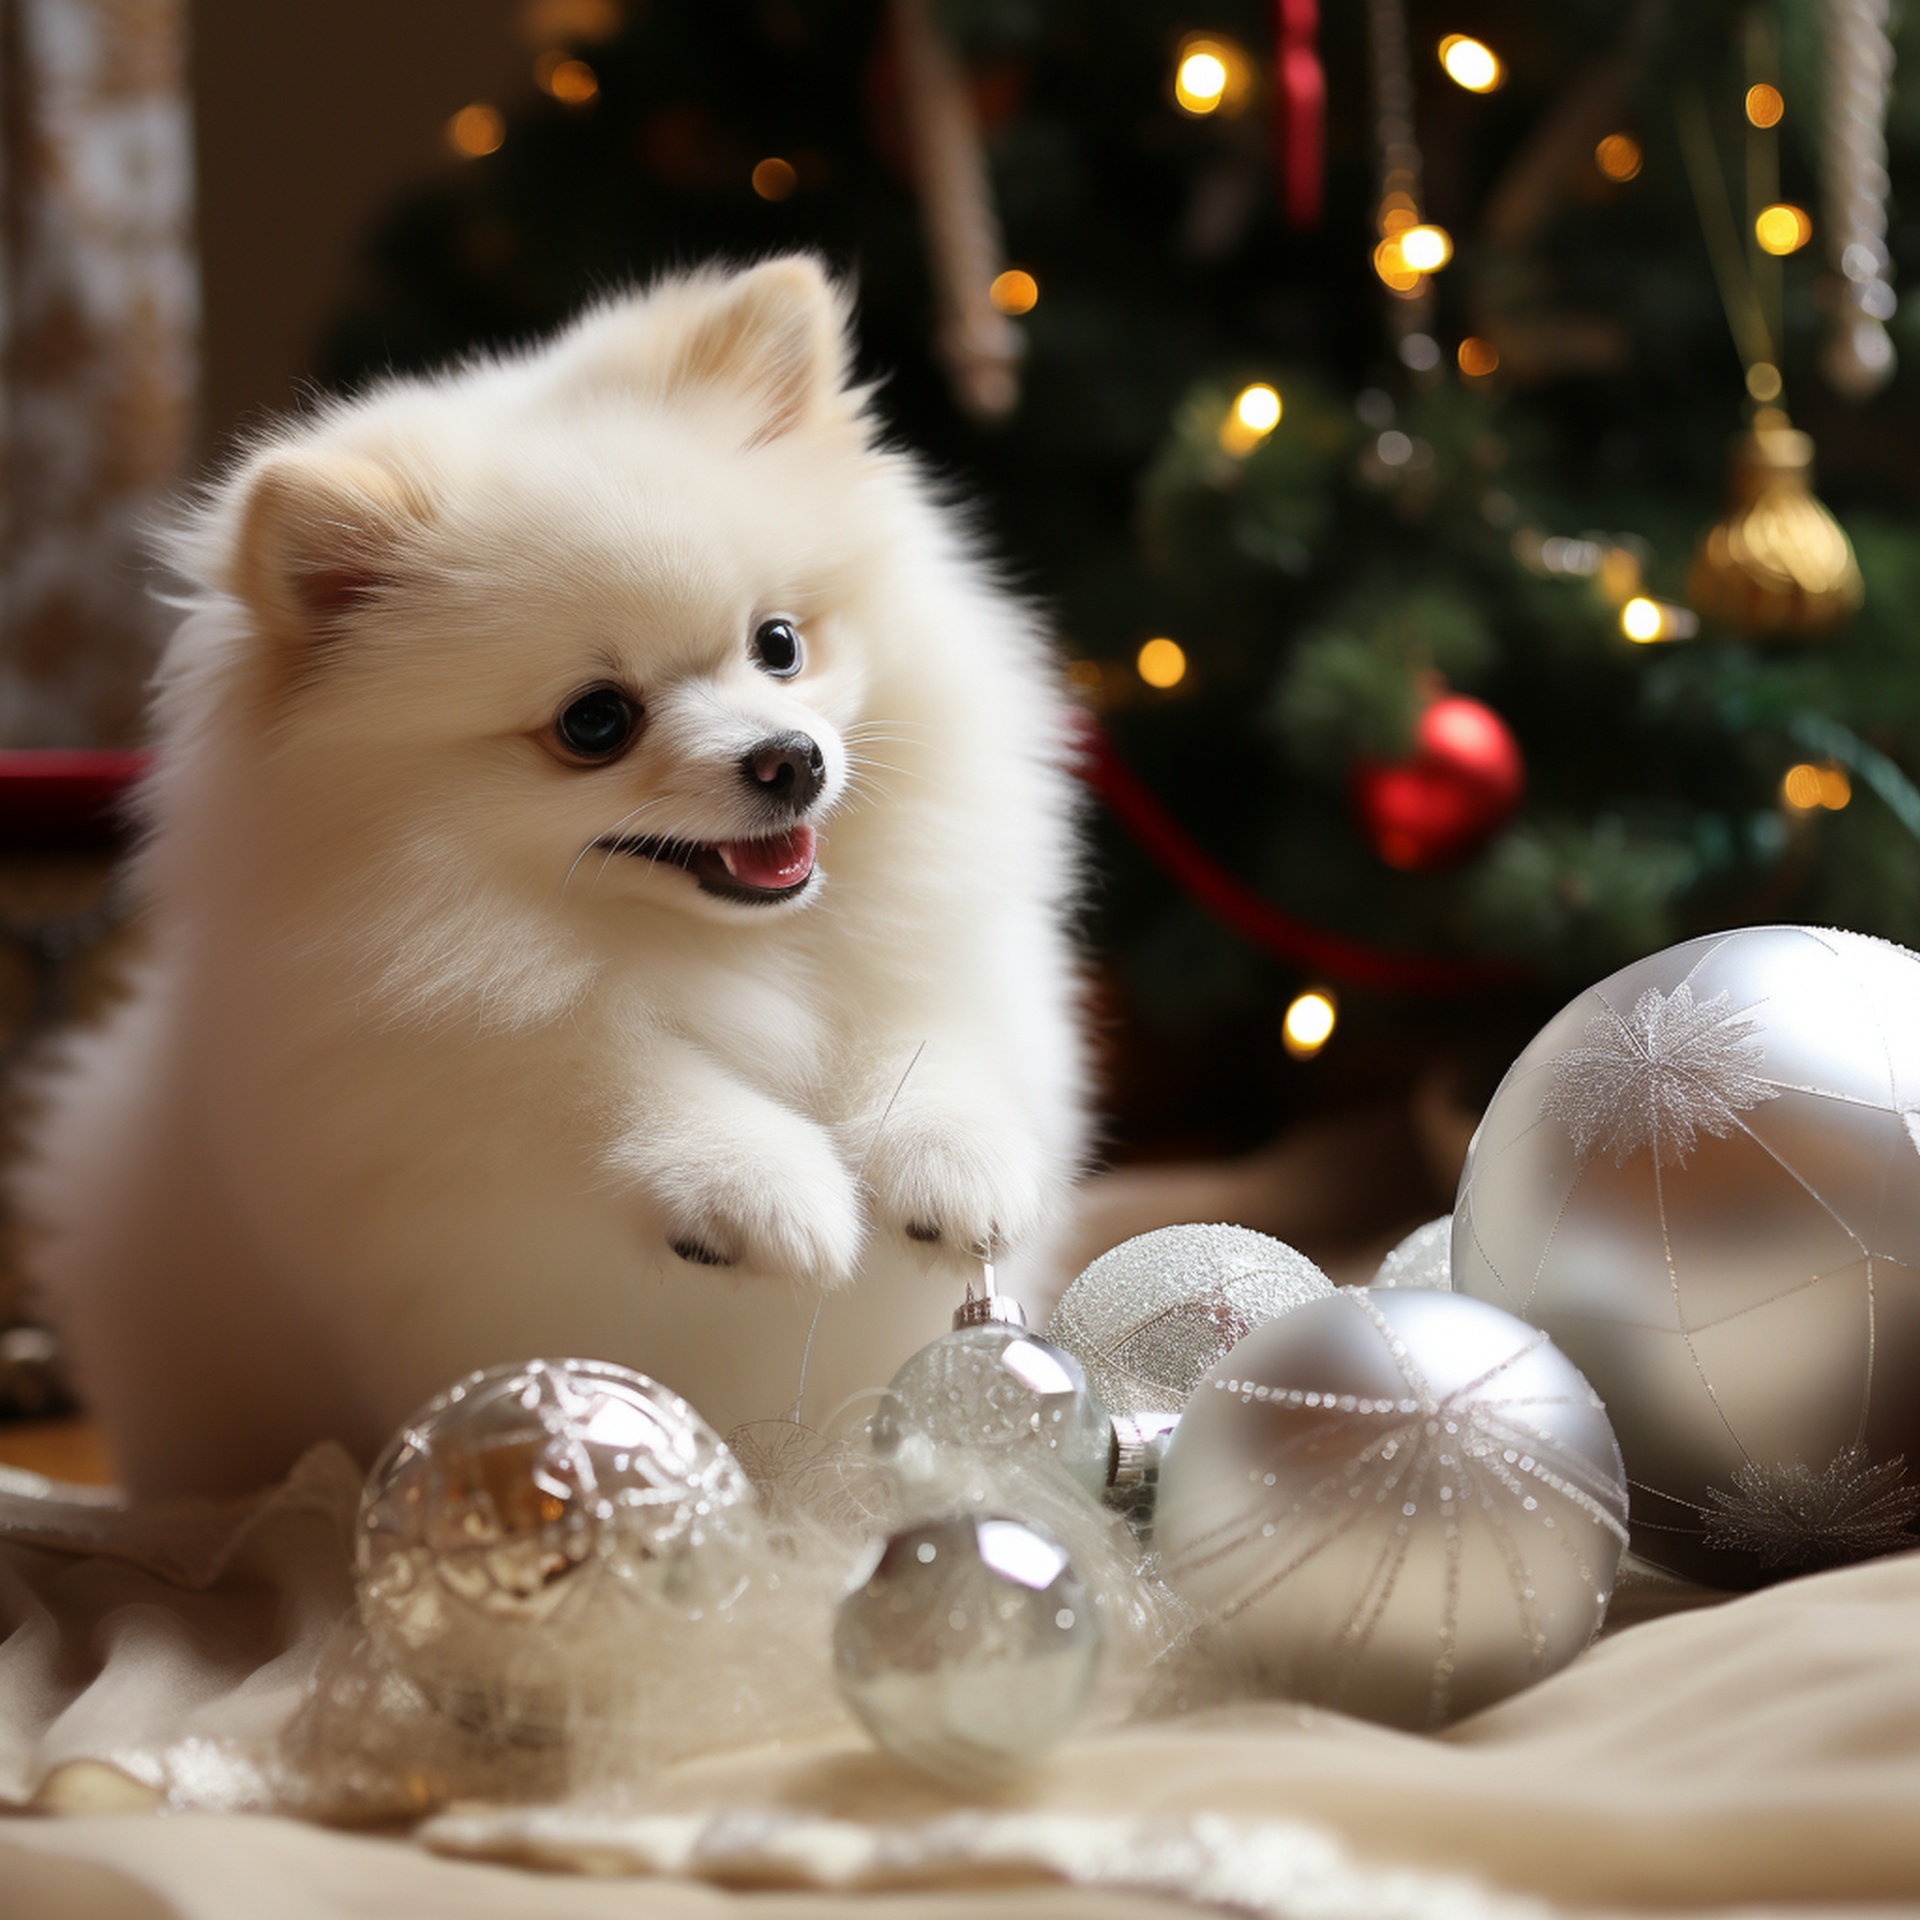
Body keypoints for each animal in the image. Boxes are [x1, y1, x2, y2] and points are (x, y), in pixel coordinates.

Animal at [22, 255, 1090, 1489]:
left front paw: (954, 1168)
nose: (792, 758)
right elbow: (589, 1075)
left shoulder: (936, 963)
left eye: (778, 645)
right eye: (596, 723)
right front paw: (765, 1184)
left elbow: (930, 1039)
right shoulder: (419, 1093)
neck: (710, 949)